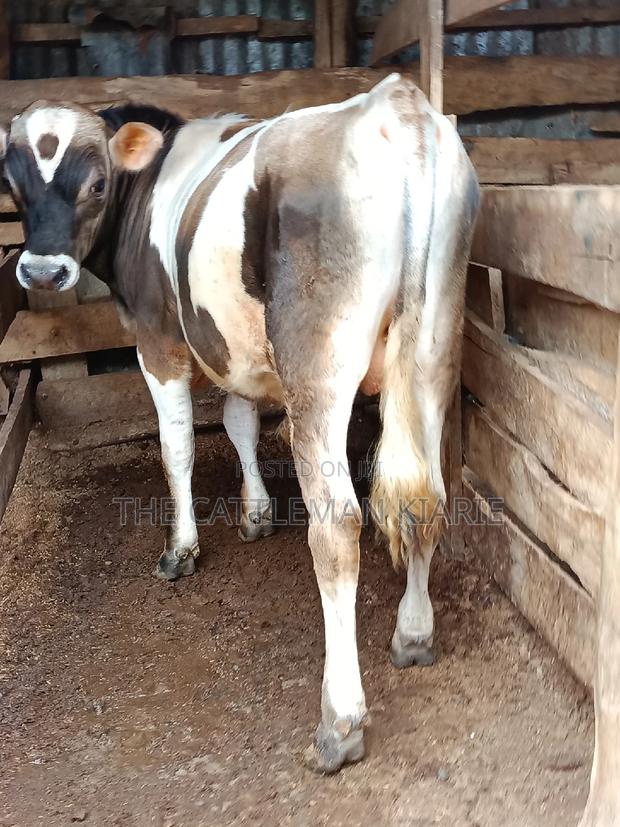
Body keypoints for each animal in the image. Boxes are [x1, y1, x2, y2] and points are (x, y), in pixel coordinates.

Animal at [0, 74, 479, 773]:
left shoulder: (159, 341)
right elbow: (239, 421)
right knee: (427, 498)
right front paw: (256, 513)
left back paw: (339, 722)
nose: (40, 272)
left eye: (96, 184)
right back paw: (413, 633)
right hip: (434, 352)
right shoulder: (233, 345)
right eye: (13, 182)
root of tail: (398, 105)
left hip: (319, 367)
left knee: (338, 525)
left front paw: (181, 547)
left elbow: (177, 448)